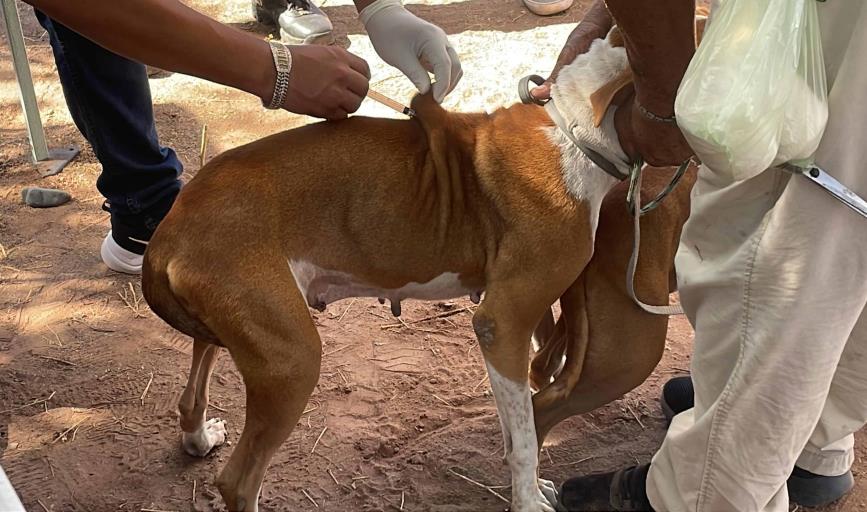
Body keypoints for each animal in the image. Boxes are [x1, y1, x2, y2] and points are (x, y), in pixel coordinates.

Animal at [142, 26, 700, 510]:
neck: (574, 132)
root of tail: (170, 230)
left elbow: (524, 410)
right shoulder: (503, 321)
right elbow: (524, 433)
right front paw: (526, 500)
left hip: (243, 331)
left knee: (193, 386)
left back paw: (198, 437)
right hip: (291, 359)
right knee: (238, 482)